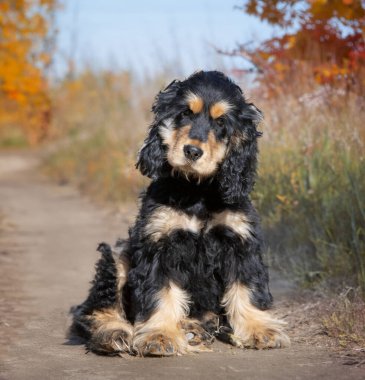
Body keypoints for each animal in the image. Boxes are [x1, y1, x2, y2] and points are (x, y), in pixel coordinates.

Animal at [69, 69, 288, 356]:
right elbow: (161, 290)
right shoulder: (161, 243)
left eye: (221, 122)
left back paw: (195, 327)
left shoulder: (239, 240)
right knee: (94, 309)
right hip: (117, 255)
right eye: (185, 113)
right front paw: (160, 335)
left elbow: (247, 286)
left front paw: (259, 329)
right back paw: (114, 333)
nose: (192, 151)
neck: (197, 190)